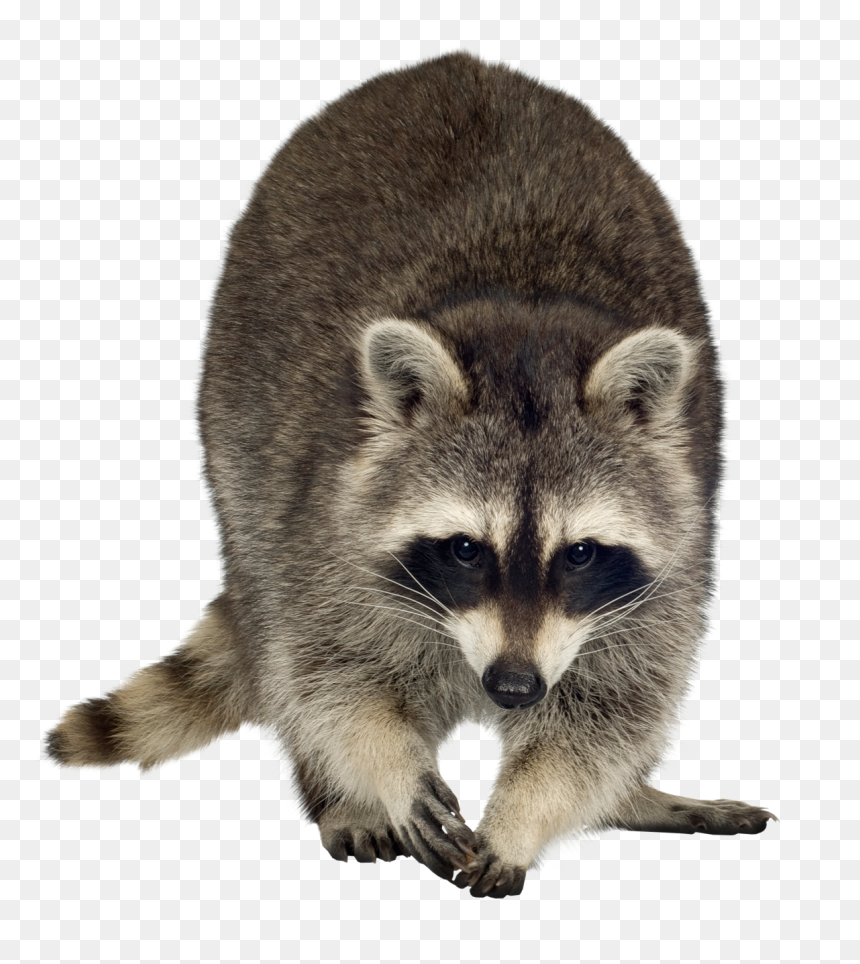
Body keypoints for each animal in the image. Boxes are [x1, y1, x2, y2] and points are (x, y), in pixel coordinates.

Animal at [46, 52, 776, 898]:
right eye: (464, 549)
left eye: (581, 553)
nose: (514, 688)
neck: (524, 316)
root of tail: (452, 67)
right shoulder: (325, 521)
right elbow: (329, 673)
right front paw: (383, 771)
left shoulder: (673, 549)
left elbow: (609, 706)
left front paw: (529, 813)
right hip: (236, 433)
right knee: (270, 616)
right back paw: (337, 793)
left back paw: (631, 795)